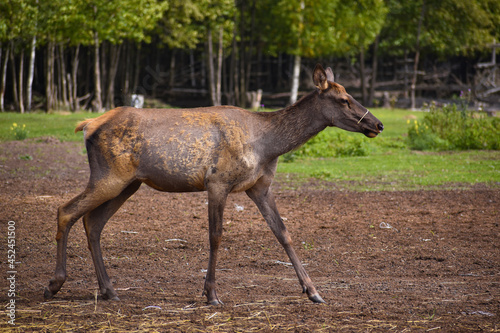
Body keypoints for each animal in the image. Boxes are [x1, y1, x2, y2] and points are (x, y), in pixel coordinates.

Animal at [45, 64, 384, 304]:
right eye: (343, 99)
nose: (377, 124)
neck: (269, 146)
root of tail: (87, 125)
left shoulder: (259, 186)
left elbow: (283, 233)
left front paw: (313, 291)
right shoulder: (217, 181)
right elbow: (216, 236)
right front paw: (211, 294)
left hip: (128, 184)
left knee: (92, 222)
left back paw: (109, 290)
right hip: (109, 176)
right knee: (66, 210)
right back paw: (55, 284)